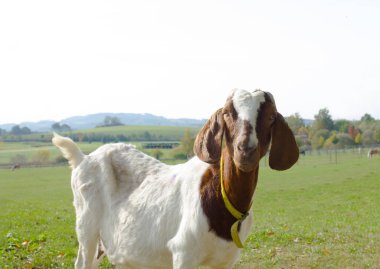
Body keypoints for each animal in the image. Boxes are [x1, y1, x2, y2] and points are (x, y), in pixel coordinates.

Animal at [52, 89, 298, 268]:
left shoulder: (226, 260)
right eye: (228, 113)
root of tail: (83, 158)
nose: (246, 150)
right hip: (87, 227)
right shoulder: (183, 252)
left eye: (270, 117)